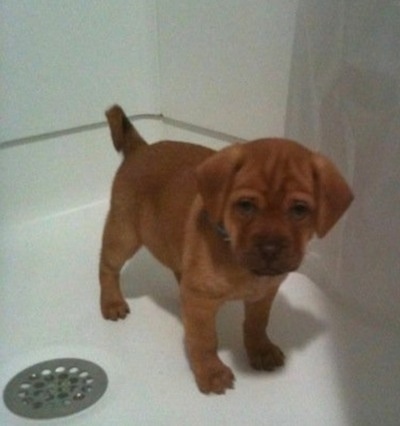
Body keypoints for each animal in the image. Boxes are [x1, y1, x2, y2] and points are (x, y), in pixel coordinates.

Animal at [100, 105, 354, 394]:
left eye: (299, 210)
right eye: (245, 206)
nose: (270, 249)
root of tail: (140, 149)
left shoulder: (263, 296)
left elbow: (256, 325)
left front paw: (260, 350)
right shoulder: (201, 303)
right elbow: (204, 340)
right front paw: (211, 372)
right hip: (123, 235)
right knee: (107, 267)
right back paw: (112, 302)